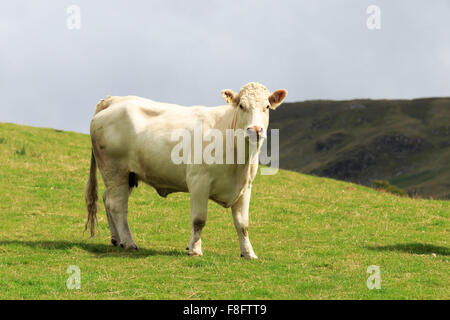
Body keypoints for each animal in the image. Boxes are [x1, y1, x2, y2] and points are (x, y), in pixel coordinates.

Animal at [86, 82, 286, 258]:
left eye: (267, 106)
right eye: (242, 106)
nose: (255, 129)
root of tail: (114, 100)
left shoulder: (245, 187)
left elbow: (243, 224)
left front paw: (248, 253)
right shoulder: (199, 182)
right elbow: (199, 220)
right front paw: (195, 249)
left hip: (128, 175)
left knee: (107, 199)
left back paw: (116, 239)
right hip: (114, 170)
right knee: (117, 205)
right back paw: (128, 242)